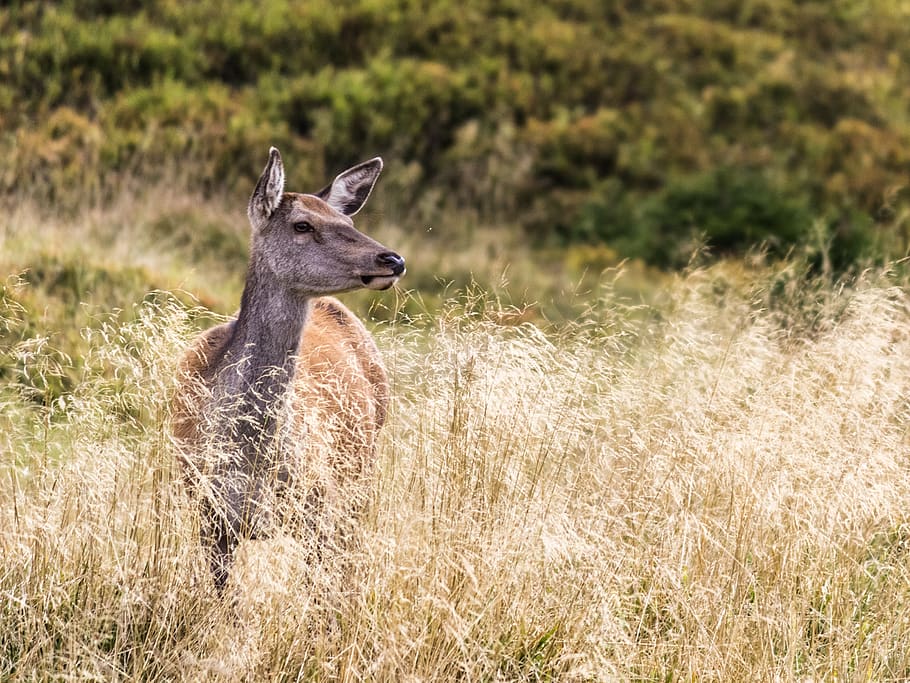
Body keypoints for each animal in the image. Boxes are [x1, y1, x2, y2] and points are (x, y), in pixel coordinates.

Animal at [171, 147, 405, 590]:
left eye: (349, 223)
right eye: (302, 224)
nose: (393, 259)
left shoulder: (318, 508)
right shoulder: (209, 515)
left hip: (362, 473)